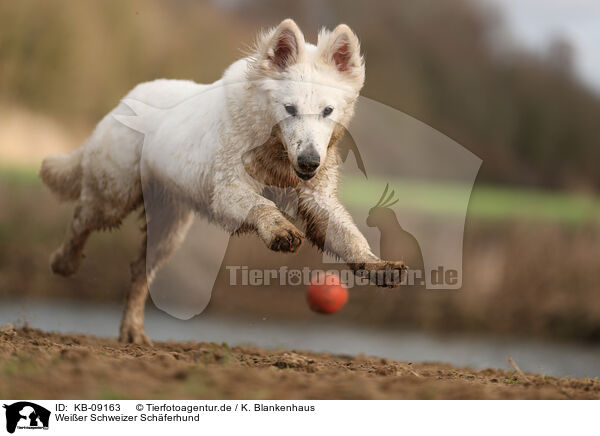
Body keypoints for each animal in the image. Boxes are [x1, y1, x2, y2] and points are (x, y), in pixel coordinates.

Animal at [39, 18, 406, 344]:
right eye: (290, 109)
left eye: (327, 111)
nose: (309, 162)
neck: (274, 152)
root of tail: (123, 101)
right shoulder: (229, 190)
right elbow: (262, 203)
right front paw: (280, 231)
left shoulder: (317, 200)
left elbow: (350, 237)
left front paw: (378, 266)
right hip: (114, 195)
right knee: (81, 217)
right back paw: (63, 261)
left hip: (168, 228)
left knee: (137, 271)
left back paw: (132, 331)